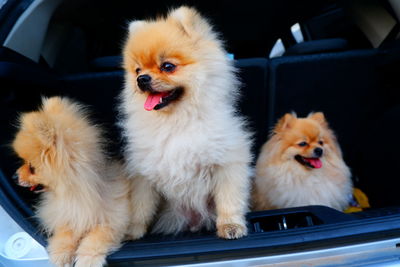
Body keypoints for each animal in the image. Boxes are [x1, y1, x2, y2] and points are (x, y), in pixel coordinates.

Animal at [12, 97, 130, 267]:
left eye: (32, 168)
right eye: (23, 161)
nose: (14, 176)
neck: (76, 192)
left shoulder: (114, 218)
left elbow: (97, 237)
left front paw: (87, 259)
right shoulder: (68, 214)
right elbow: (65, 233)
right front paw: (60, 254)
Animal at [120, 6, 252, 240]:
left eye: (167, 66)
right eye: (137, 70)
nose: (141, 79)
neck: (177, 120)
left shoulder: (227, 162)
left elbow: (229, 199)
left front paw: (230, 226)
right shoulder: (142, 173)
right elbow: (140, 207)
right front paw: (132, 233)